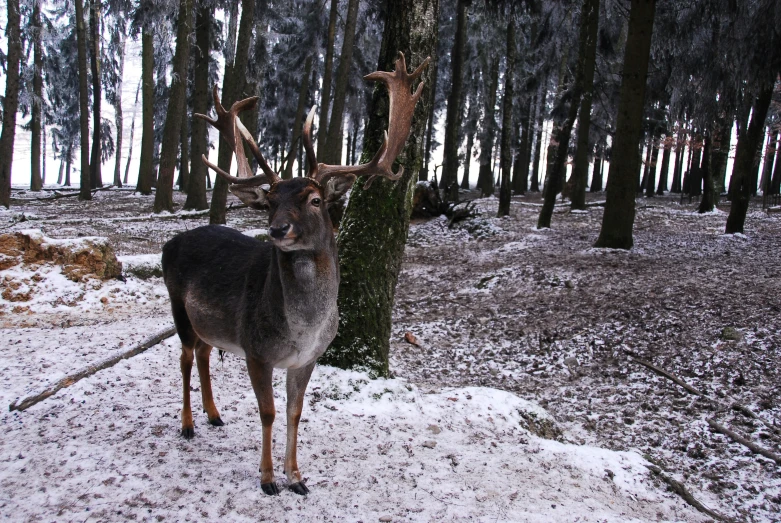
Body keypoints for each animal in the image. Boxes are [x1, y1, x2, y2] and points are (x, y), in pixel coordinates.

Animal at [158, 54, 426, 500]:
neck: (302, 329)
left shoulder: (309, 358)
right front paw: (268, 479)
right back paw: (188, 424)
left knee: (204, 351)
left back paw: (214, 415)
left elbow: (295, 412)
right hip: (176, 304)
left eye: (315, 200)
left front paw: (297, 477)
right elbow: (267, 412)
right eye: (270, 201)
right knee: (183, 356)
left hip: (209, 323)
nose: (277, 229)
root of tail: (169, 243)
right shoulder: (256, 349)